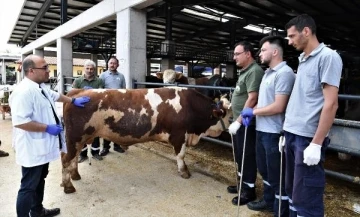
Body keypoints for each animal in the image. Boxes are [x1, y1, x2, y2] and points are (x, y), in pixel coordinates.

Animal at [61, 86, 231, 193]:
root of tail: (77, 92)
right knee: (66, 159)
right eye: (227, 115)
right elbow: (181, 155)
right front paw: (184, 172)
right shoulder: (179, 135)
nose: (230, 131)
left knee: (73, 158)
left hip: (80, 139)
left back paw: (75, 176)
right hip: (74, 138)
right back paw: (68, 186)